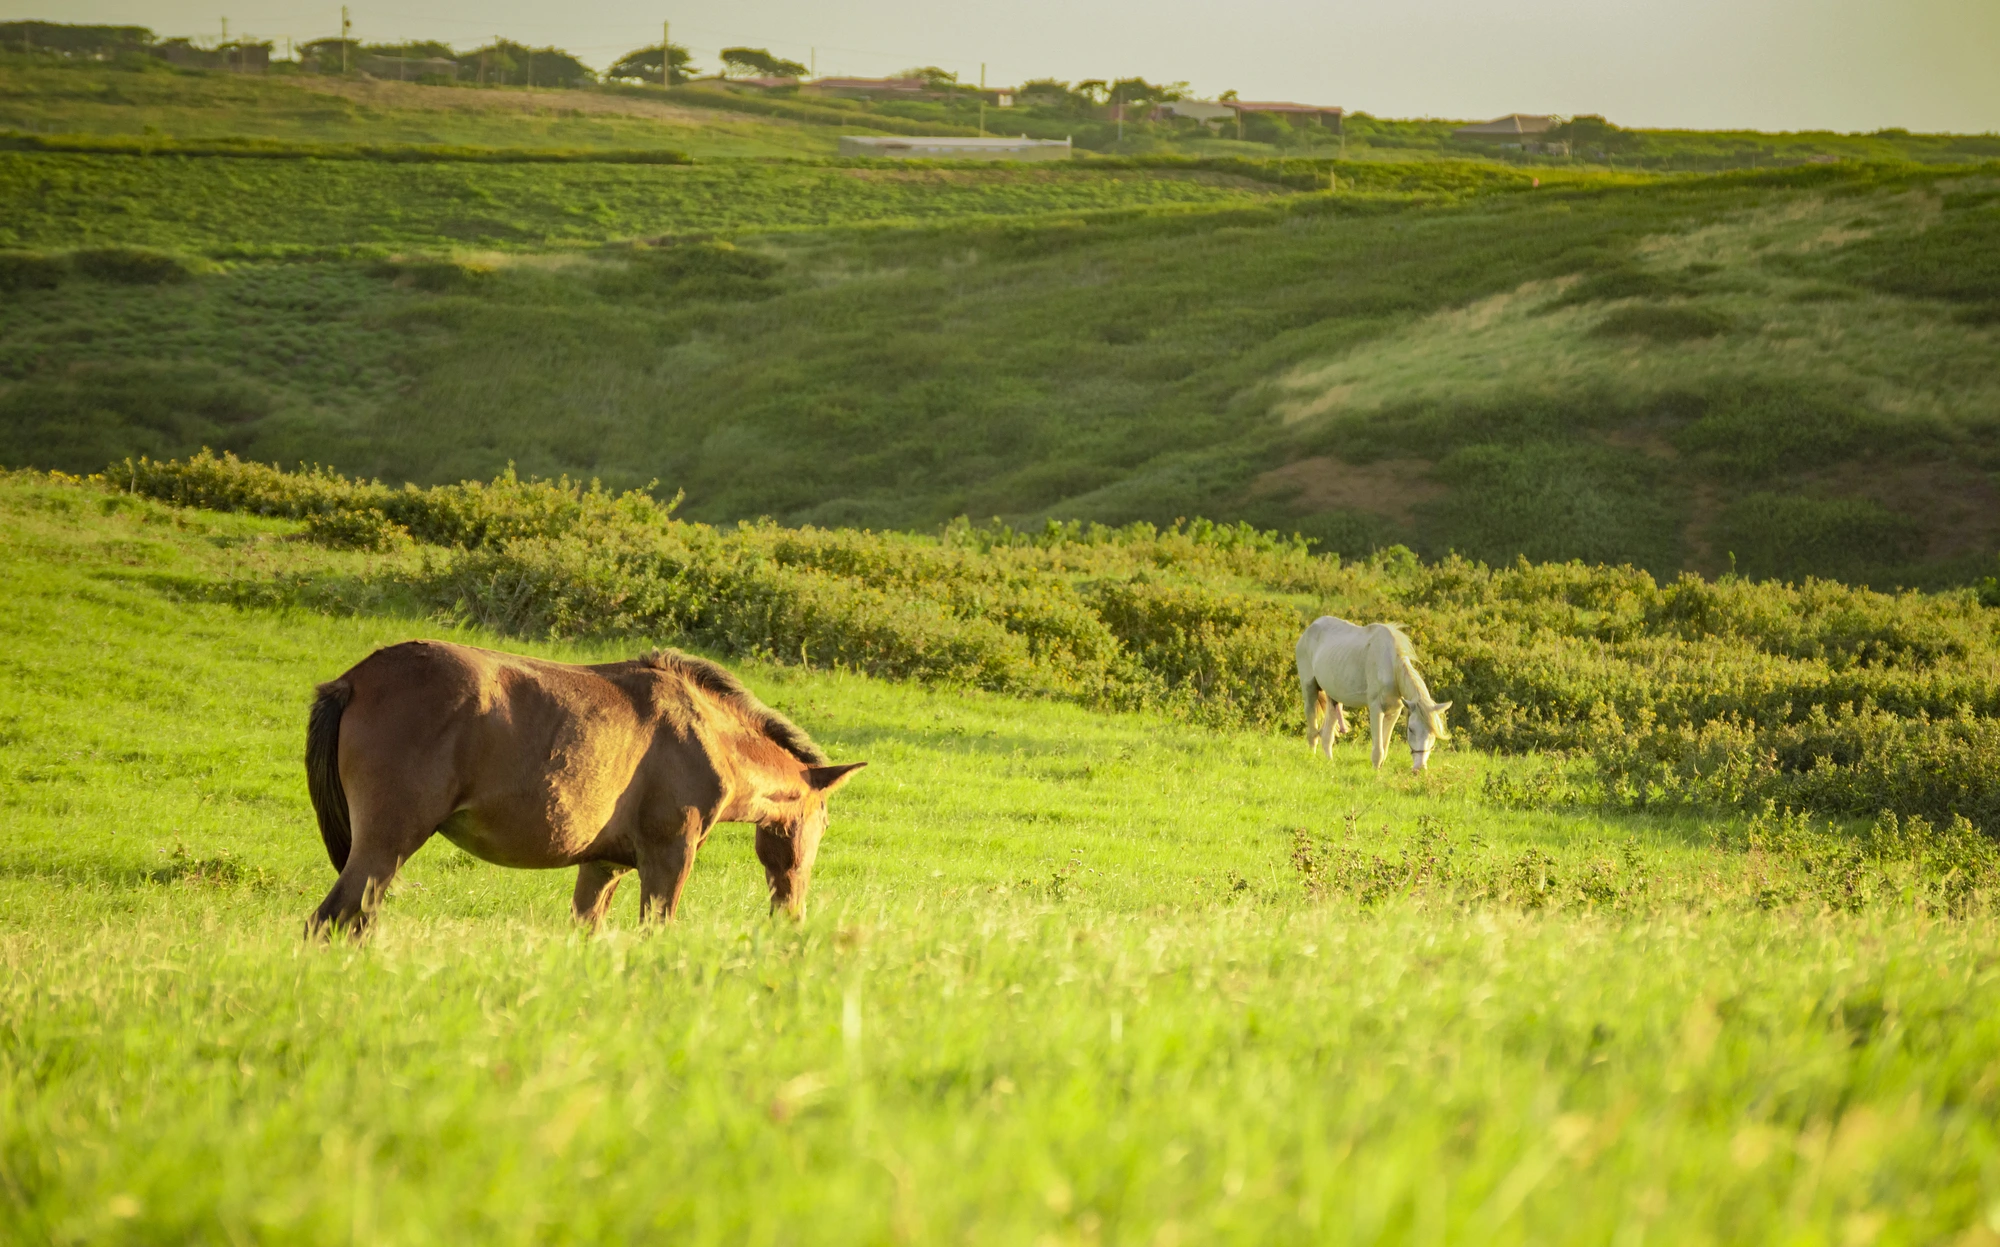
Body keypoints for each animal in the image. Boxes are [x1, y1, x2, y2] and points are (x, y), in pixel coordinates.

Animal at [303, 640, 865, 938]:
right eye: (823, 824)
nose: (792, 915)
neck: (706, 733)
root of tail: (354, 681)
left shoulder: (603, 866)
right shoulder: (669, 857)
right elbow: (655, 931)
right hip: (386, 844)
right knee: (330, 921)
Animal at [1295, 617, 1452, 773]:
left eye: (1432, 733)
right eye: (1411, 729)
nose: (1419, 768)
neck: (1391, 666)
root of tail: (1309, 629)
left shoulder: (1393, 712)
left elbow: (1385, 747)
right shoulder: (1376, 709)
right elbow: (1378, 750)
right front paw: (1376, 773)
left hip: (1333, 696)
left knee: (1327, 736)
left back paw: (1330, 764)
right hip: (1309, 691)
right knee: (1312, 733)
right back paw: (1311, 759)